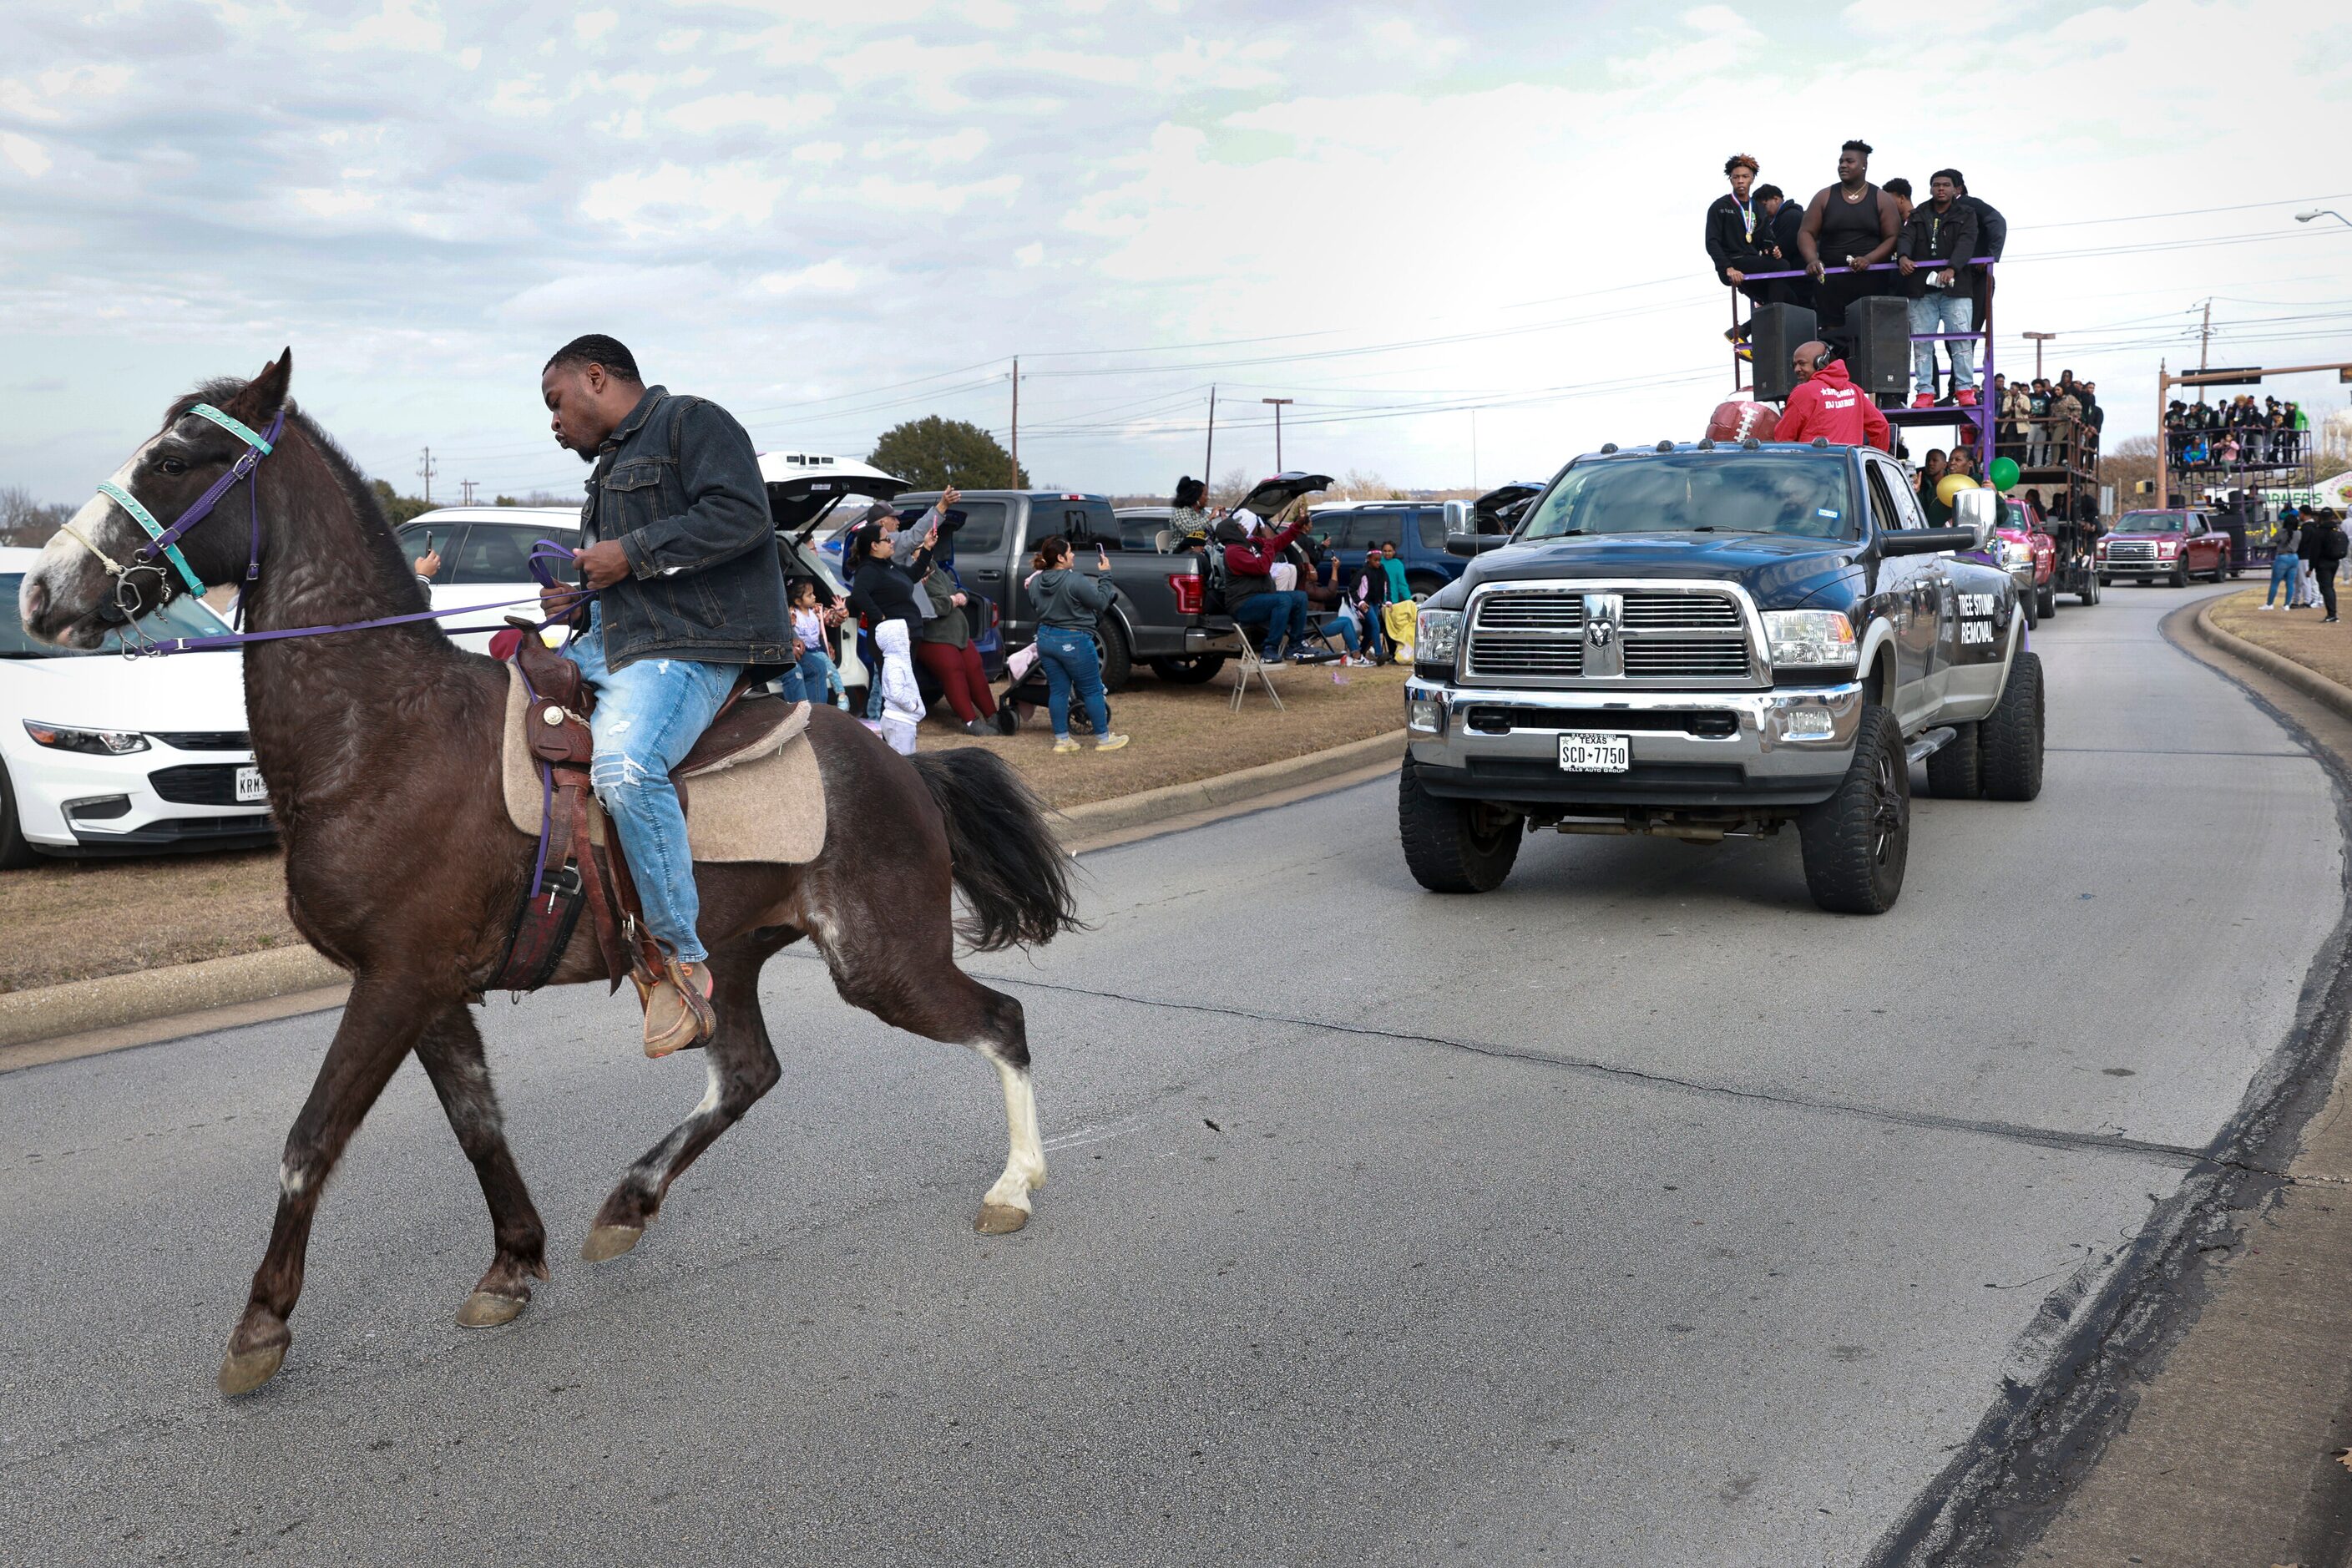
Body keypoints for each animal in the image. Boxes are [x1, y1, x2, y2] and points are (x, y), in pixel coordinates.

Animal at [18, 355, 1077, 1401]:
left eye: (174, 460)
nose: (37, 593)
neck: (385, 732)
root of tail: (903, 766)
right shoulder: (429, 989)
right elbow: (478, 1126)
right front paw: (512, 1263)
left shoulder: (395, 982)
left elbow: (309, 1141)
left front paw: (261, 1326)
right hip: (734, 956)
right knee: (746, 1073)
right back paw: (628, 1203)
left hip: (881, 961)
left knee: (1001, 1023)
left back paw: (1015, 1187)